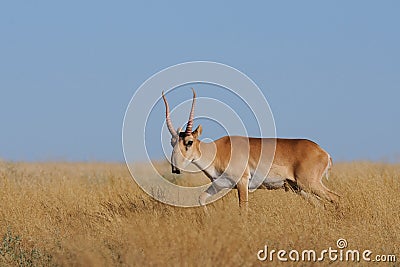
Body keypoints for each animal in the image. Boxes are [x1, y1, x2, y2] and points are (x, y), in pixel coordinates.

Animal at [162, 89, 340, 208]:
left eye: (189, 142)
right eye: (172, 142)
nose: (175, 168)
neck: (218, 150)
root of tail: (323, 152)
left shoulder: (242, 183)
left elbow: (243, 208)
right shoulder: (220, 185)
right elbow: (201, 198)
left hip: (309, 184)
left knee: (335, 198)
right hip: (299, 188)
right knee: (320, 205)